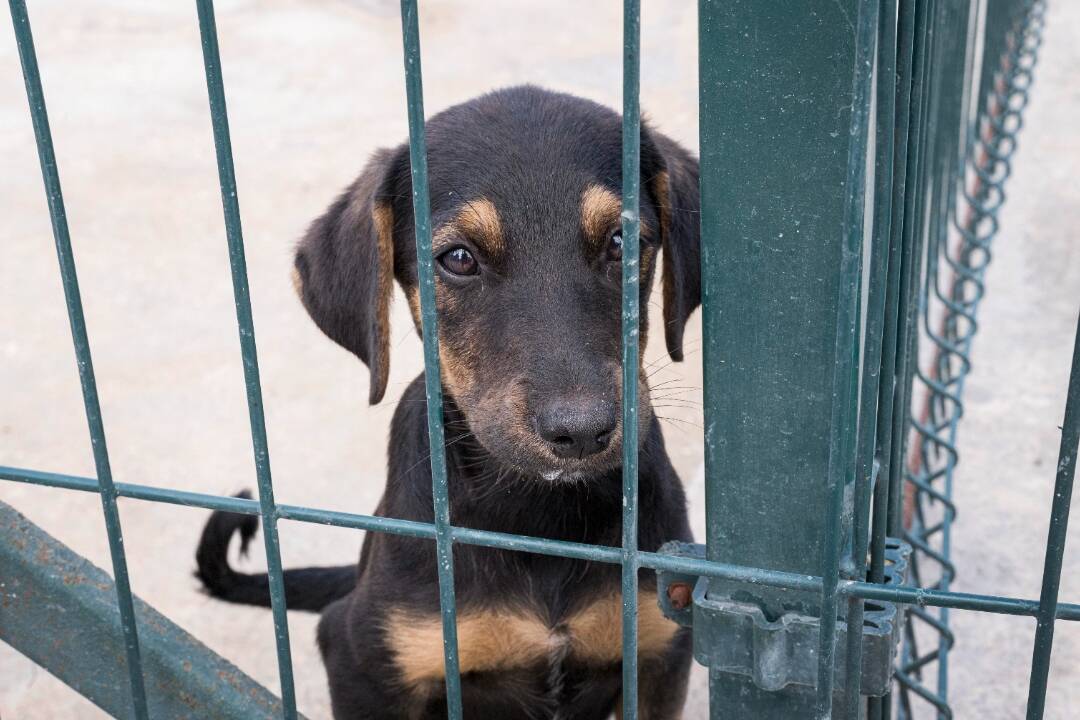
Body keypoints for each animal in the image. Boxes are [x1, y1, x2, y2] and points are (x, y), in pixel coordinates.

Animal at [194, 85, 699, 720]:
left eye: (622, 241)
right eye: (458, 259)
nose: (582, 431)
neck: (535, 516)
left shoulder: (659, 650)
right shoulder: (364, 655)